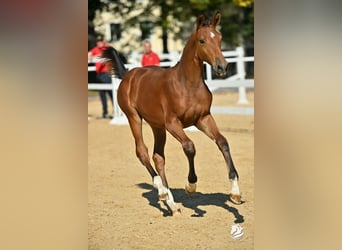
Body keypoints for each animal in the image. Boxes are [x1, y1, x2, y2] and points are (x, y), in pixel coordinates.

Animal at [103, 11, 242, 215]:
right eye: (202, 41)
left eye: (219, 38)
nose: (222, 67)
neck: (188, 84)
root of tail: (129, 74)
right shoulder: (172, 123)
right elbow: (190, 147)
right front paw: (191, 185)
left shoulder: (203, 118)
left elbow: (223, 142)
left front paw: (235, 193)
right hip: (134, 118)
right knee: (142, 151)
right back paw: (161, 191)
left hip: (157, 126)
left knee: (158, 157)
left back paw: (171, 203)